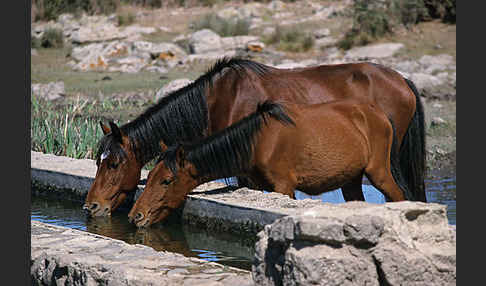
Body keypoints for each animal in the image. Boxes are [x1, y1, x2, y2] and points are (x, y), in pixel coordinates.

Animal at [127, 100, 412, 228]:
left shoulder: (284, 187)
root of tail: (378, 114)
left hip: (378, 173)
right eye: (149, 177)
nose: (135, 215)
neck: (258, 141)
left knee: (399, 196)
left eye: (166, 180)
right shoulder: (260, 185)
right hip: (351, 180)